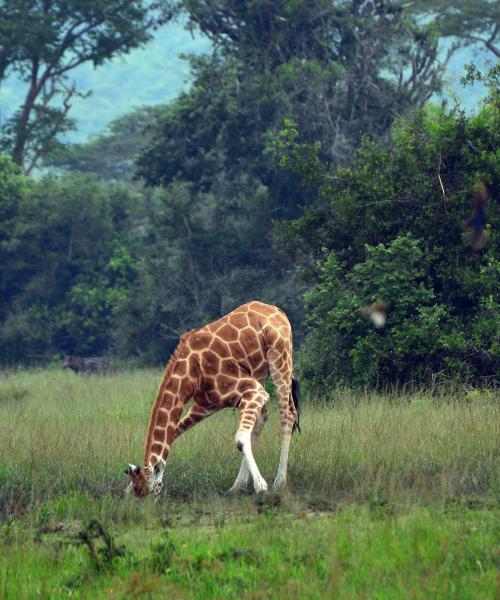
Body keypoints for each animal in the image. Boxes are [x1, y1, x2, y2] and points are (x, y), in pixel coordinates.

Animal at [127, 300, 302, 496]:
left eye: (151, 490)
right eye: (138, 491)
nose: (145, 502)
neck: (192, 372)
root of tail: (278, 311)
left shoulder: (254, 390)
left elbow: (240, 439)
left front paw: (261, 486)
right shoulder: (205, 404)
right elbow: (175, 432)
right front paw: (126, 488)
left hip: (280, 357)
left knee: (287, 415)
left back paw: (279, 482)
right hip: (259, 372)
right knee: (262, 417)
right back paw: (238, 485)